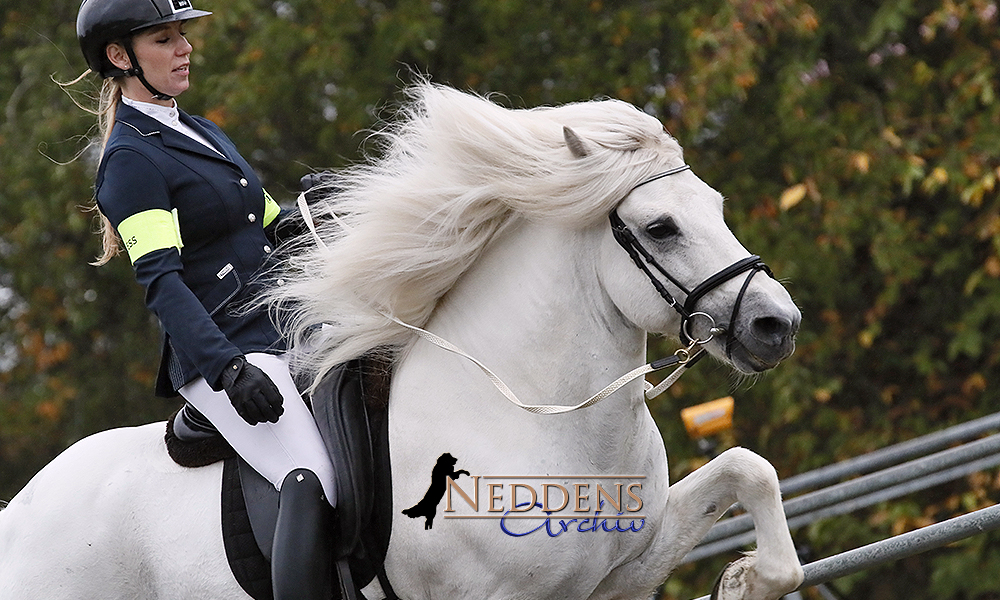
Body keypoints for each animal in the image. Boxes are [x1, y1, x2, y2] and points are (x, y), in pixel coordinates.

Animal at [0, 84, 800, 600]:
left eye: (717, 207)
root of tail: (18, 517)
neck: (522, 413)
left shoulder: (621, 572)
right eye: (660, 227)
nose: (775, 324)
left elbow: (748, 469)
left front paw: (747, 579)